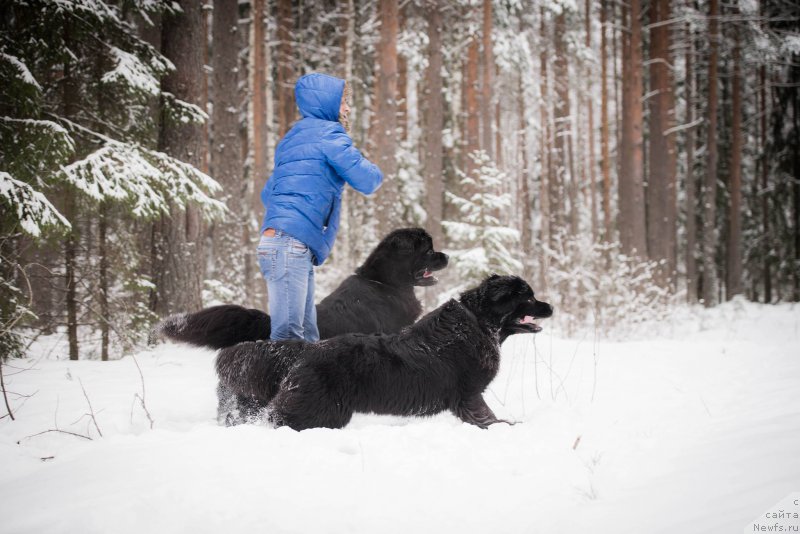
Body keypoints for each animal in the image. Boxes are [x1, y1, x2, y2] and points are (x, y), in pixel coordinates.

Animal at [216, 276, 552, 432]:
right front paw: (506, 427)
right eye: (528, 298)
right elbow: (485, 416)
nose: (550, 306)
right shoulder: (470, 393)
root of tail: (306, 350)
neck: (477, 322)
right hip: (317, 409)